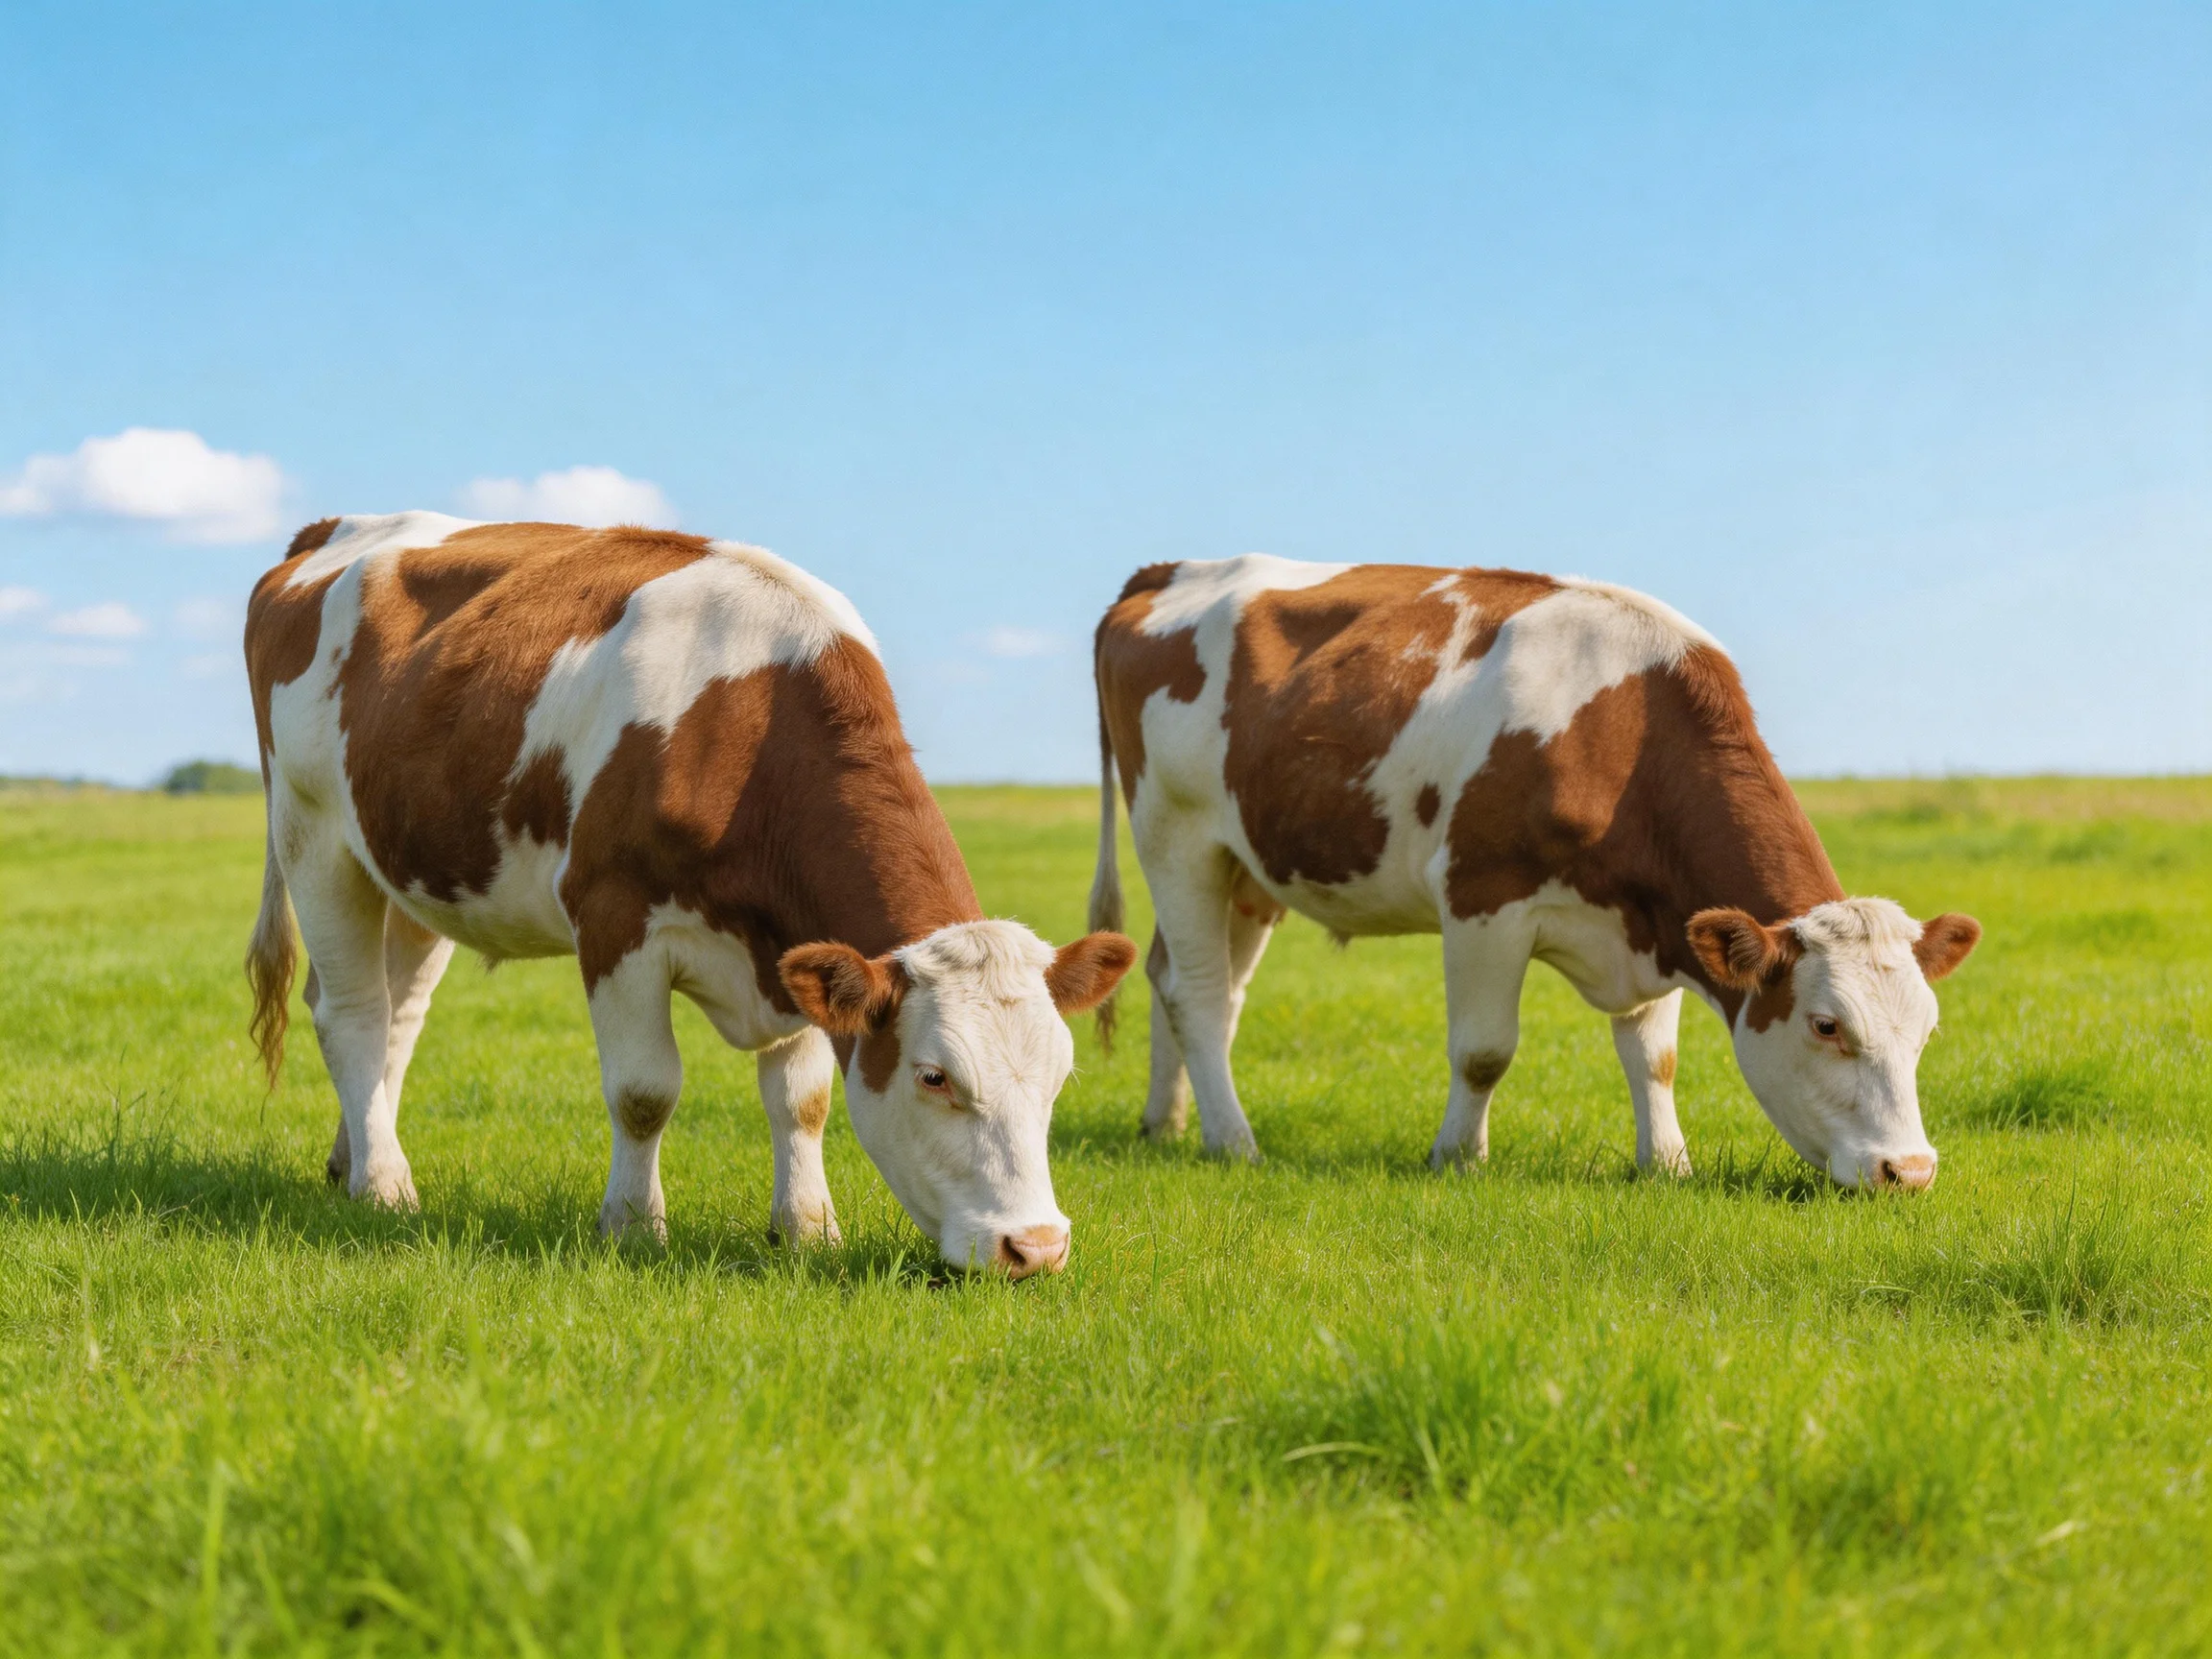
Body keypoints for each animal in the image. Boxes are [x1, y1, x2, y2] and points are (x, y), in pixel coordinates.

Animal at [244, 513, 1134, 1275]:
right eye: (934, 1076)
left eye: (1061, 1075)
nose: (1036, 1248)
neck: (744, 728)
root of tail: (336, 529)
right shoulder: (615, 922)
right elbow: (644, 1093)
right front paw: (634, 1228)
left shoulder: (796, 950)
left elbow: (804, 1101)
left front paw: (807, 1229)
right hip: (313, 834)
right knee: (351, 1015)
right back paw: (384, 1187)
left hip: (412, 872)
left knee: (397, 1017)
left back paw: (356, 1157)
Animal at [1087, 557, 1980, 1189]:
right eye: (1826, 1026)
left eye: (1929, 1031)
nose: (1910, 1172)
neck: (1623, 734)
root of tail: (1170, 570)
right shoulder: (1482, 900)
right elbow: (1484, 1052)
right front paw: (1457, 1157)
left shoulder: (1659, 923)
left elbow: (1653, 1057)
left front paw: (1667, 1163)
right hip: (1177, 836)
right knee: (1198, 993)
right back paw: (1234, 1141)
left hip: (1247, 868)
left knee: (1191, 983)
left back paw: (1168, 1124)